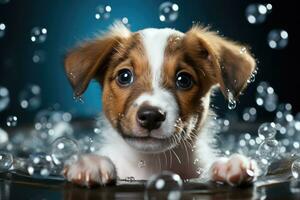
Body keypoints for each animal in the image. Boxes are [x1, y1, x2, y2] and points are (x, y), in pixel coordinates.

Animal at [62, 22, 258, 187]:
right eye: (124, 76)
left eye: (184, 80)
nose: (150, 116)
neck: (153, 163)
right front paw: (89, 163)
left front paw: (227, 164)